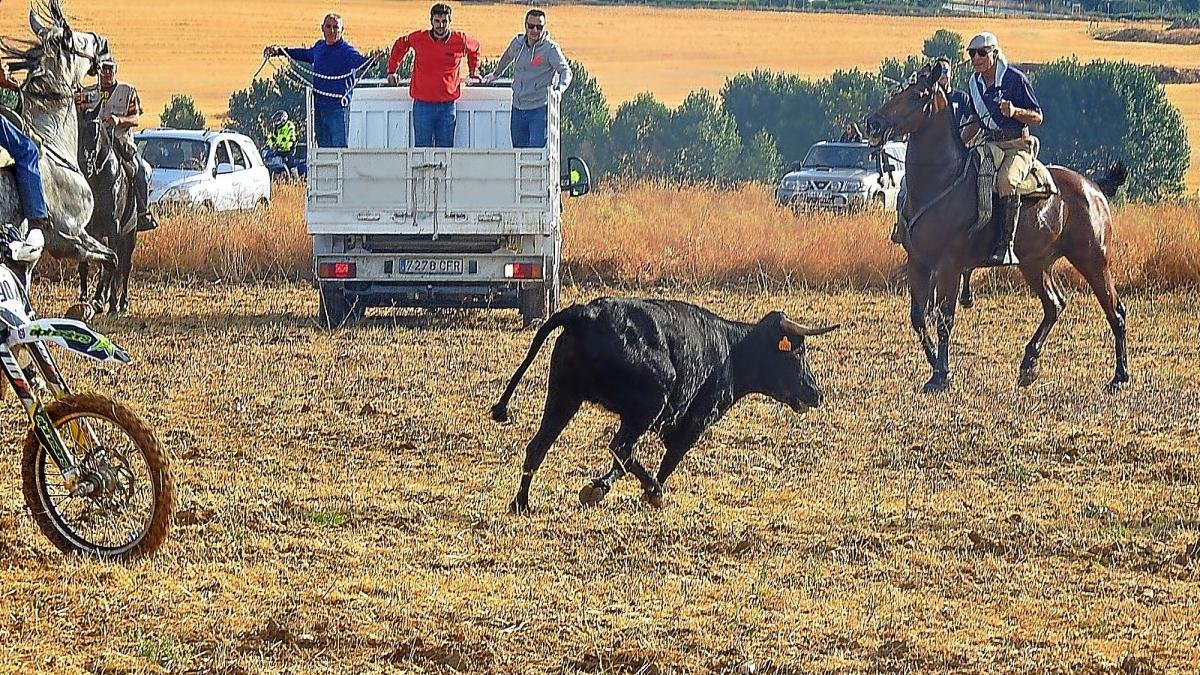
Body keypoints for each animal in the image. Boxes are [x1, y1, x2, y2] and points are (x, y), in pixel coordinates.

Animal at [492, 296, 840, 511]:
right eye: (798, 352)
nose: (816, 394)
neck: (731, 350)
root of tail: (588, 313)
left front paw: (599, 488)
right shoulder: (693, 422)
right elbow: (668, 461)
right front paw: (648, 491)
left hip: (564, 396)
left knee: (539, 446)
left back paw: (522, 503)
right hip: (647, 404)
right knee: (621, 447)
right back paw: (654, 491)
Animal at [868, 61, 1128, 393]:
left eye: (917, 95)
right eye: (898, 92)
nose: (873, 123)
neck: (939, 181)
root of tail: (1093, 187)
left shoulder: (949, 265)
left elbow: (944, 318)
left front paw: (941, 375)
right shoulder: (918, 263)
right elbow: (918, 317)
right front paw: (934, 365)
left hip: (1093, 259)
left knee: (1114, 311)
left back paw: (1119, 377)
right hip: (1034, 264)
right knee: (1054, 305)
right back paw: (1028, 365)